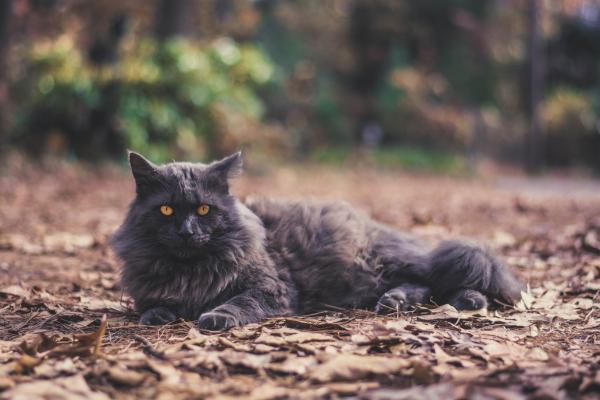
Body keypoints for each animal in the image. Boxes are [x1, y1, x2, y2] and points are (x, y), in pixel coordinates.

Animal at [110, 152, 524, 330]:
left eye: (203, 210)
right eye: (166, 210)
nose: (187, 232)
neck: (191, 269)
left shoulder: (271, 287)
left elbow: (239, 302)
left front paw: (216, 316)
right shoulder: (149, 289)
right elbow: (153, 304)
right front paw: (157, 315)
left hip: (390, 261)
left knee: (449, 278)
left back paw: (466, 301)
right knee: (422, 286)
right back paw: (394, 302)